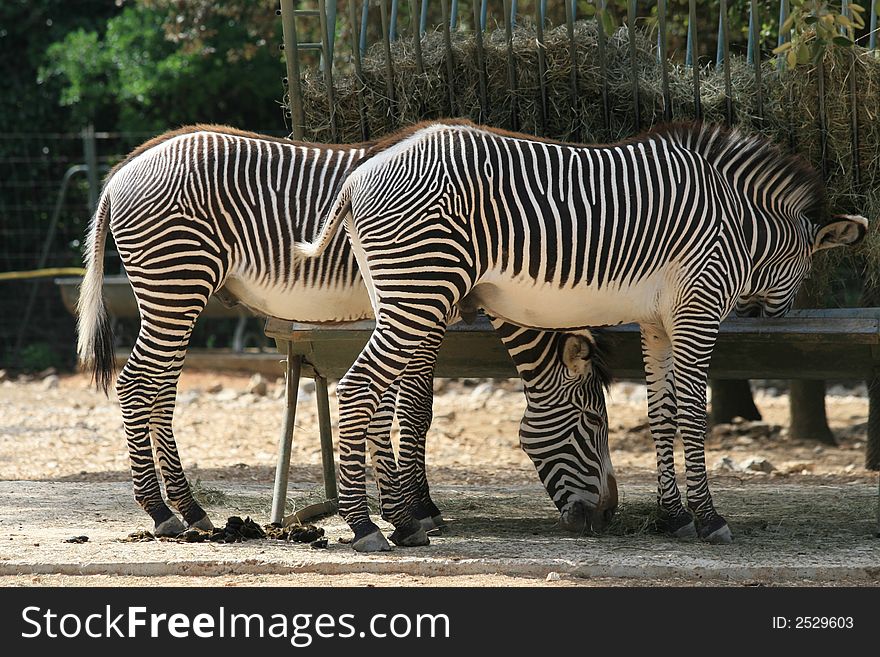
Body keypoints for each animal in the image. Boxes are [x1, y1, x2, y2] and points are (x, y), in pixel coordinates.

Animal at [75, 124, 616, 544]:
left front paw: (405, 507)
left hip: (177, 294)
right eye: (592, 421)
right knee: (136, 384)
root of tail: (125, 168)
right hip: (176, 282)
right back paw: (161, 512)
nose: (607, 517)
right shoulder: (430, 303)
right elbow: (416, 409)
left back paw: (189, 509)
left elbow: (397, 405)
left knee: (160, 390)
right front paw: (420, 510)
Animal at [294, 118, 868, 548]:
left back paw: (405, 523)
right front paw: (708, 519)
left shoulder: (657, 320)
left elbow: (662, 414)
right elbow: (692, 413)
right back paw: (364, 527)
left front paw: (674, 517)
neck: (741, 226)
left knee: (380, 393)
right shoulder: (699, 307)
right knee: (357, 388)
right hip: (422, 286)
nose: (774, 315)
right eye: (592, 421)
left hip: (399, 295)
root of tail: (356, 178)